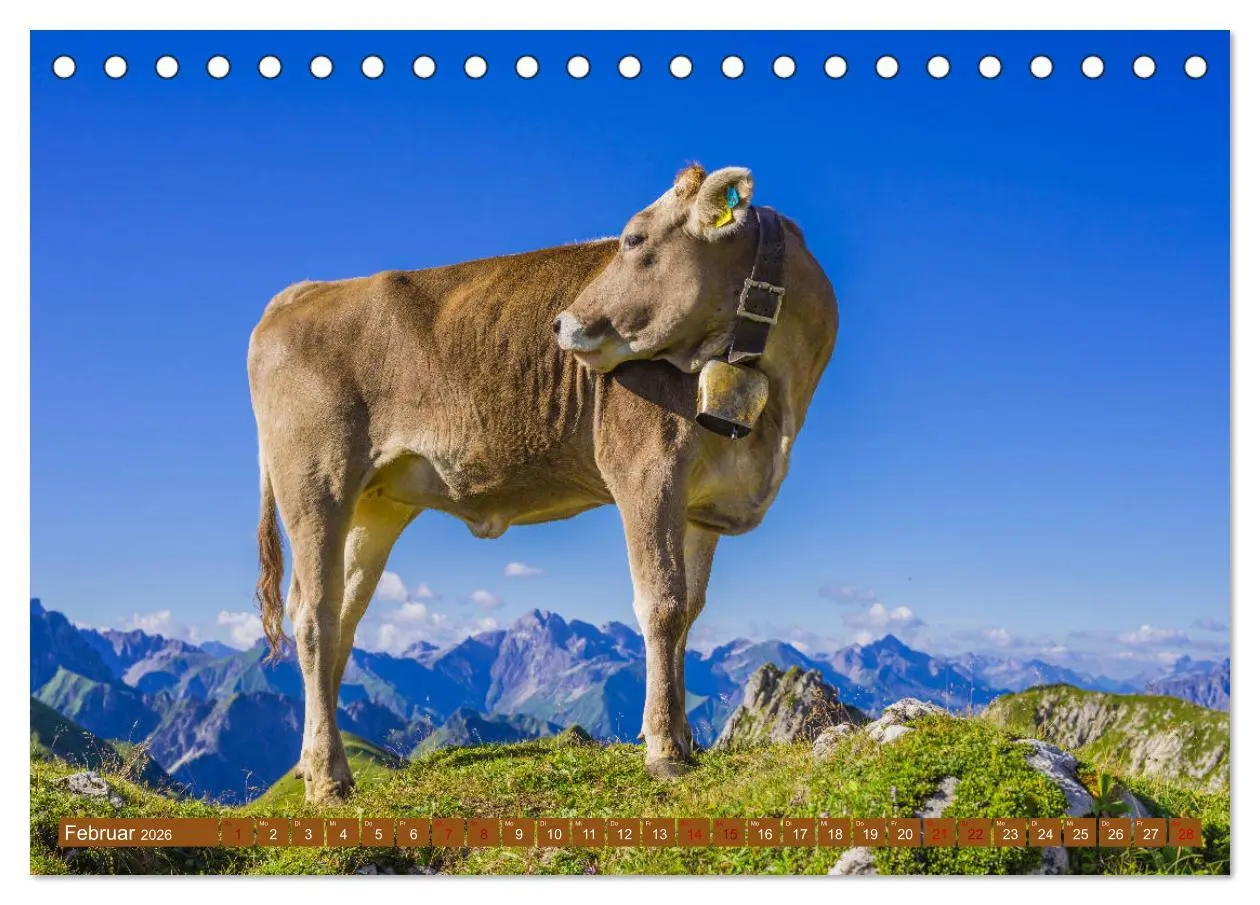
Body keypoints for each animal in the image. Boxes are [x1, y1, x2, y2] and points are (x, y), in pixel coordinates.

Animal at [247, 164, 838, 803]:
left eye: (633, 239)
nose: (559, 323)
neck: (775, 406)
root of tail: (304, 291)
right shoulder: (646, 471)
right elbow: (662, 604)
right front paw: (663, 750)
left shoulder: (702, 506)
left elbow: (690, 611)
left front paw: (684, 738)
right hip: (315, 481)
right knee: (313, 617)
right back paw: (329, 776)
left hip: (373, 505)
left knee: (341, 617)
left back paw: (311, 764)